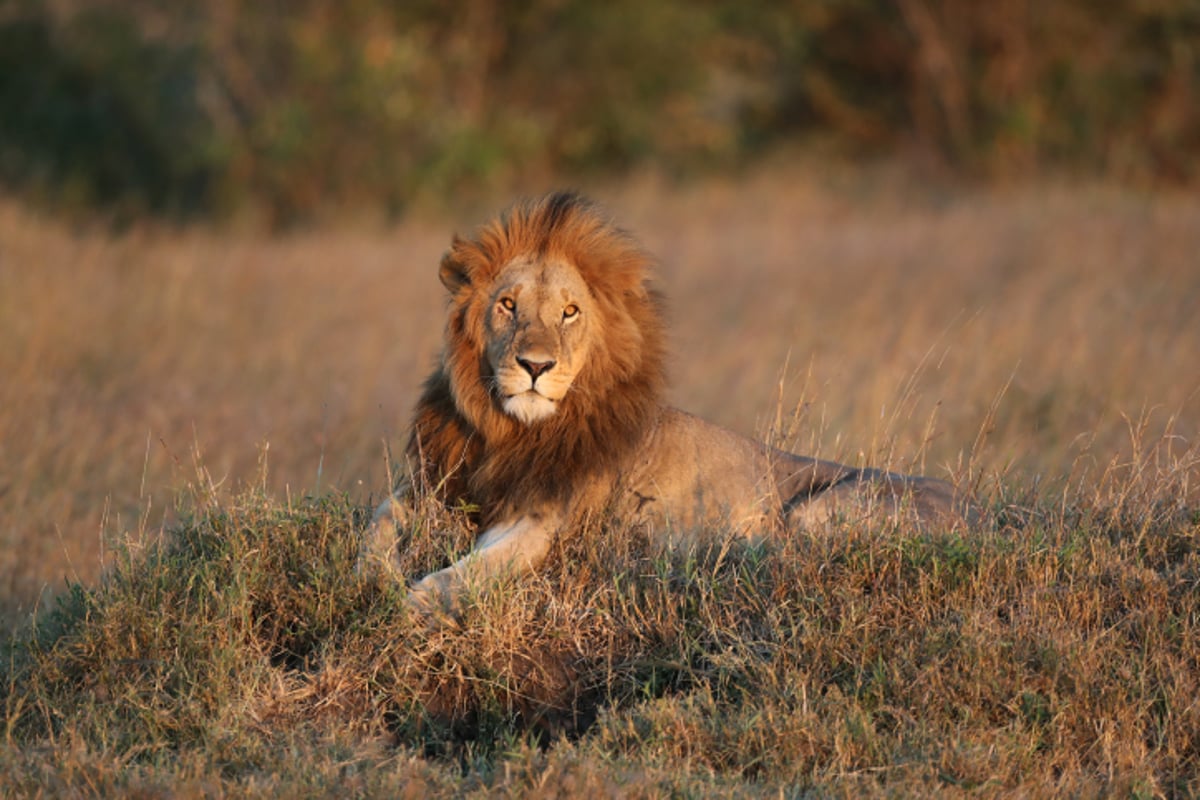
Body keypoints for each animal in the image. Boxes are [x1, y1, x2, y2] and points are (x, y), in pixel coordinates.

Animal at [357, 190, 974, 618]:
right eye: (508, 305)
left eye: (569, 312)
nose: (535, 366)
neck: (509, 431)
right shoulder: (434, 486)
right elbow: (378, 520)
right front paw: (372, 576)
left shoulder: (545, 523)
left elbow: (476, 570)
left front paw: (418, 602)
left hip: (815, 511)